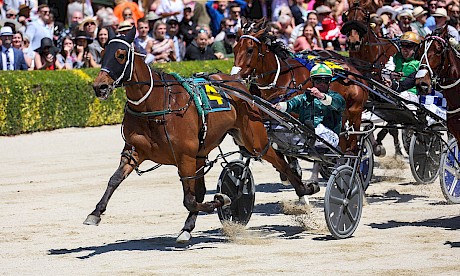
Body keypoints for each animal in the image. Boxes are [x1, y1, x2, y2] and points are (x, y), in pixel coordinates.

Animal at [84, 27, 312, 243]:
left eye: (121, 55)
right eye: (102, 53)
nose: (99, 87)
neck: (155, 104)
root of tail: (235, 82)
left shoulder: (185, 157)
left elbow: (190, 199)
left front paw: (223, 200)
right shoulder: (135, 151)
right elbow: (114, 179)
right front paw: (95, 213)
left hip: (253, 139)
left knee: (279, 161)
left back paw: (304, 191)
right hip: (204, 150)